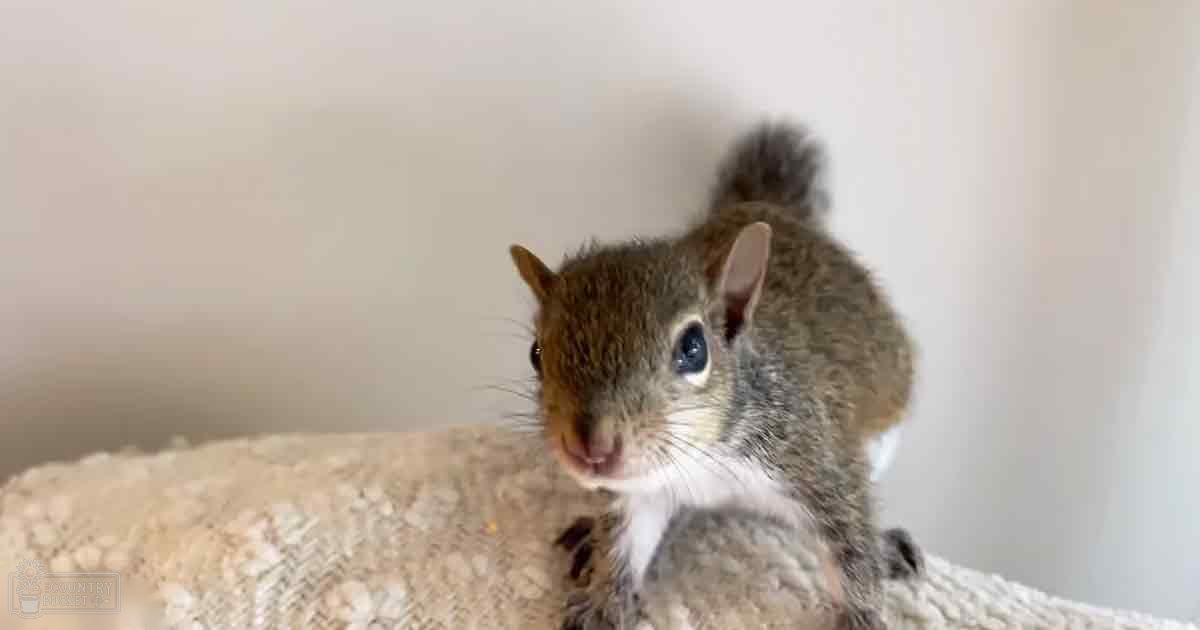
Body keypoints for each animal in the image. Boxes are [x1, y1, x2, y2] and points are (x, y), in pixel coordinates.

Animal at [508, 122, 924, 630]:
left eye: (693, 348)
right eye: (536, 354)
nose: (591, 448)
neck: (704, 456)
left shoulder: (815, 456)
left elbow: (852, 547)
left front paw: (862, 614)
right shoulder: (641, 493)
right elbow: (623, 544)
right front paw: (601, 604)